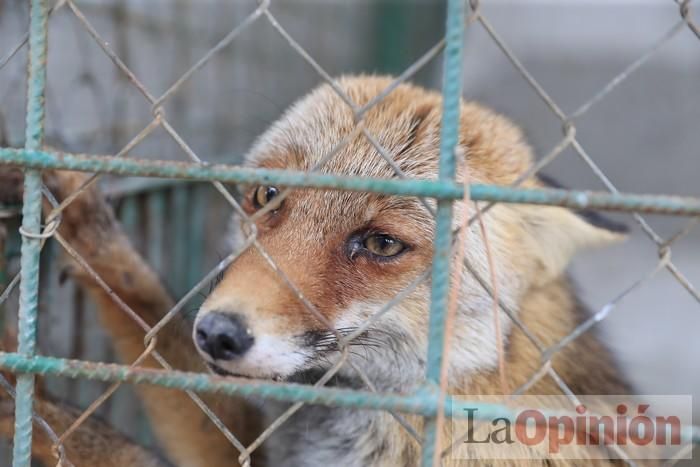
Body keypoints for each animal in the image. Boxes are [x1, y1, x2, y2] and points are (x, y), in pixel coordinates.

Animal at [1, 75, 636, 466]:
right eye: (267, 195)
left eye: (381, 243)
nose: (218, 334)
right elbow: (152, 325)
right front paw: (89, 226)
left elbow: (121, 448)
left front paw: (39, 410)